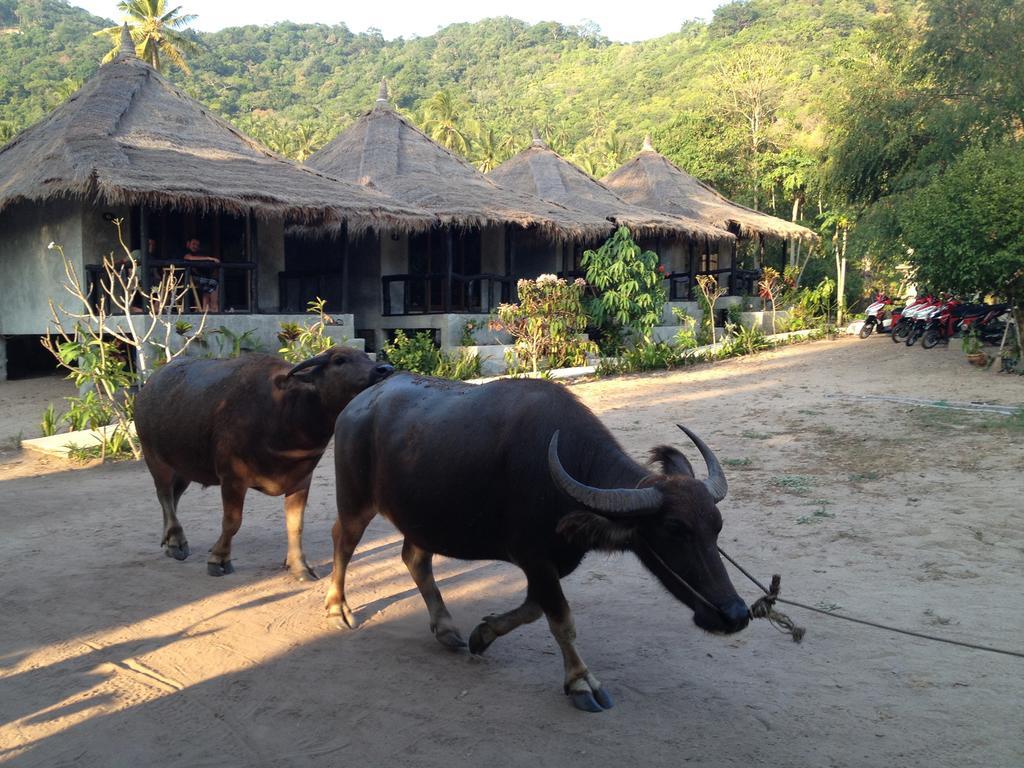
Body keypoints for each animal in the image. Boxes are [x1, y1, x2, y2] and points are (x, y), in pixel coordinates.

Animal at [136, 348, 391, 577]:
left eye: (366, 356)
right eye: (339, 360)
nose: (385, 369)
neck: (286, 412)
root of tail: (148, 386)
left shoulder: (301, 479)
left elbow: (295, 524)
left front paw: (299, 566)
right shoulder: (232, 478)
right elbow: (232, 522)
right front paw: (218, 559)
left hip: (184, 466)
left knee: (174, 496)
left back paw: (171, 540)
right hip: (155, 458)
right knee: (164, 494)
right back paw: (176, 542)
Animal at [331, 376, 749, 712]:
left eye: (716, 527)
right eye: (674, 529)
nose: (736, 614)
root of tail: (355, 406)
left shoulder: (549, 563)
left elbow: (534, 608)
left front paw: (483, 634)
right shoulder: (534, 557)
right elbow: (561, 619)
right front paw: (581, 682)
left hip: (424, 520)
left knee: (415, 558)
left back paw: (446, 629)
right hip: (355, 501)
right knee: (344, 540)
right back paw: (338, 608)